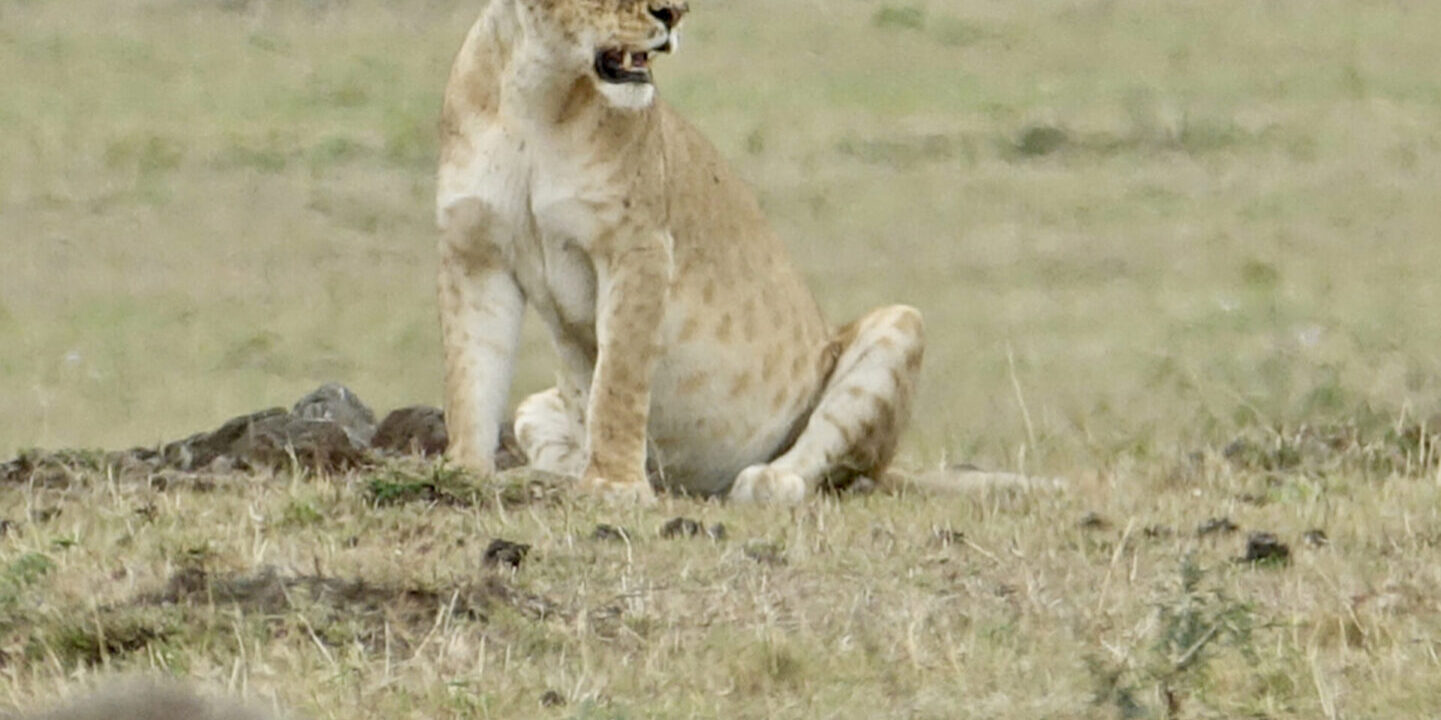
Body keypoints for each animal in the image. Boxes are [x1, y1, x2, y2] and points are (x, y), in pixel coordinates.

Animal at [436, 0, 925, 503]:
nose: (674, 12)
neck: (536, 94)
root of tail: (695, 487)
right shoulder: (473, 251)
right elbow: (470, 373)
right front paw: (464, 472)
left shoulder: (638, 248)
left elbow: (619, 380)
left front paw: (615, 483)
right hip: (534, 406)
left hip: (901, 326)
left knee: (823, 457)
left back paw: (766, 481)